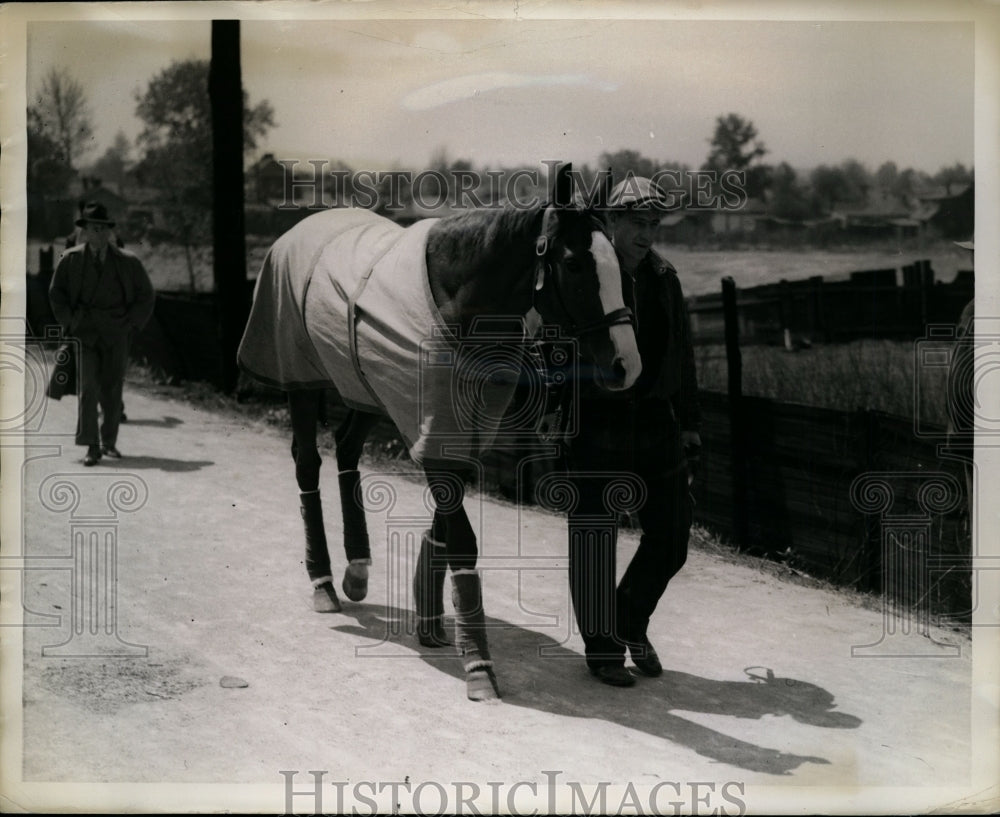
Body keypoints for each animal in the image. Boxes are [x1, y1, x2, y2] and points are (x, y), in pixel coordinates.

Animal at [236, 163, 640, 700]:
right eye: (575, 265)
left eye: (619, 265)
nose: (625, 365)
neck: (459, 305)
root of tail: (297, 231)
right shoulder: (433, 434)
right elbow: (462, 539)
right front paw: (478, 664)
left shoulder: (463, 433)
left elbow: (446, 529)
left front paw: (430, 621)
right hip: (300, 380)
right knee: (307, 463)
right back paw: (322, 580)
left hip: (364, 387)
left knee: (346, 450)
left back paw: (357, 569)